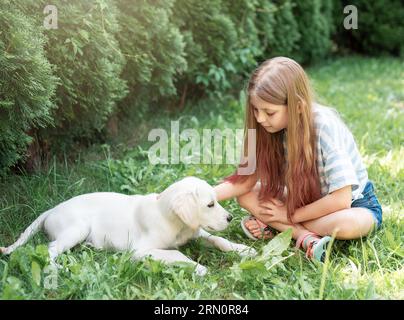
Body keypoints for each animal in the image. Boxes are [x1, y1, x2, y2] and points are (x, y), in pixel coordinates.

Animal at [0, 176, 256, 276]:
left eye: (216, 200)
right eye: (210, 204)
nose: (230, 218)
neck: (173, 221)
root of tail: (51, 210)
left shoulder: (196, 232)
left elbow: (218, 239)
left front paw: (243, 250)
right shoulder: (141, 251)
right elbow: (176, 254)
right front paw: (198, 268)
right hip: (76, 228)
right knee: (50, 250)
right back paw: (59, 269)